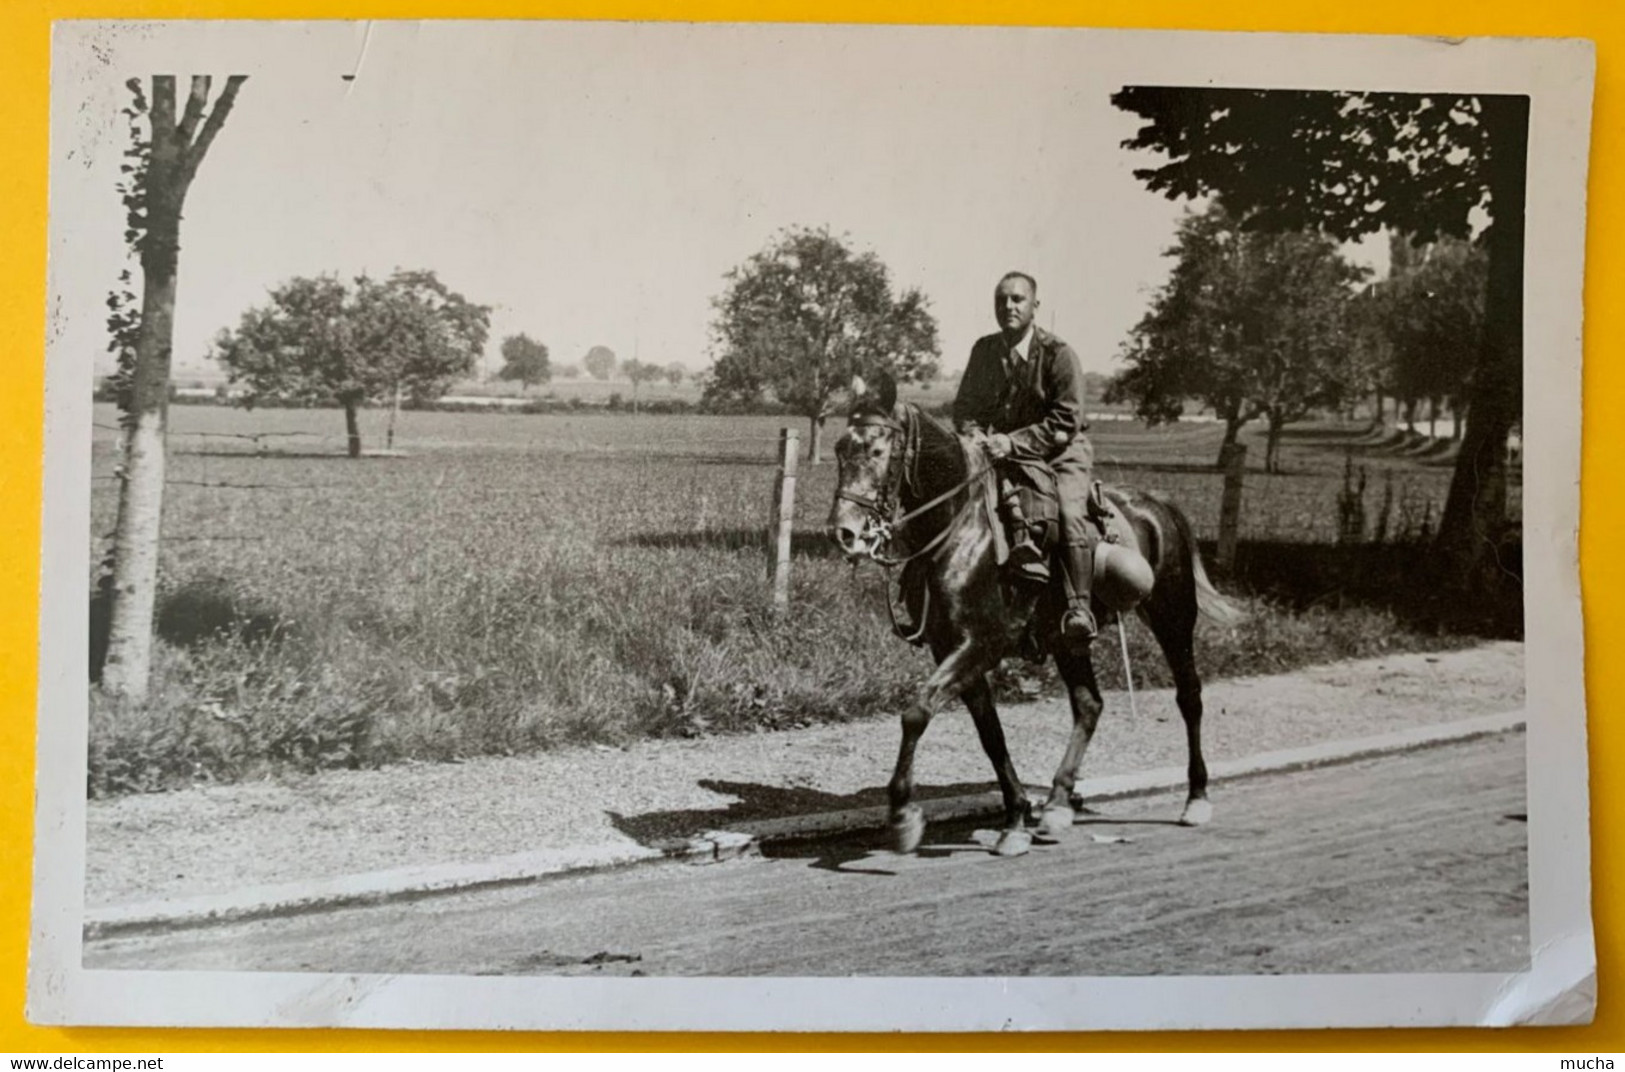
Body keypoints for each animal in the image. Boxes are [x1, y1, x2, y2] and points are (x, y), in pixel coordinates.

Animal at [832, 371, 1235, 857]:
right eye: (839, 449)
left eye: (877, 451)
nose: (844, 532)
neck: (962, 528)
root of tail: (1158, 504)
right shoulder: (950, 649)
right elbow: (990, 734)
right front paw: (1016, 819)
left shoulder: (980, 644)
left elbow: (917, 713)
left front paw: (904, 816)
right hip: (1069, 639)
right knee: (1089, 705)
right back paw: (1058, 804)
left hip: (1173, 617)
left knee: (1189, 697)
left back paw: (1197, 798)